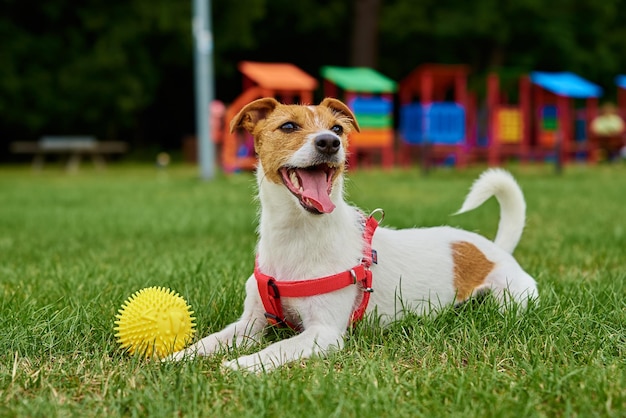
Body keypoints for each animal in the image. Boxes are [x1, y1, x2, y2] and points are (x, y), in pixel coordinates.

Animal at [168, 98, 532, 372]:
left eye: (337, 129)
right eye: (288, 126)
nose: (330, 142)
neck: (296, 236)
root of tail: (495, 249)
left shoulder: (324, 332)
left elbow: (276, 350)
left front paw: (241, 365)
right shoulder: (250, 323)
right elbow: (210, 341)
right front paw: (174, 358)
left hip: (511, 300)